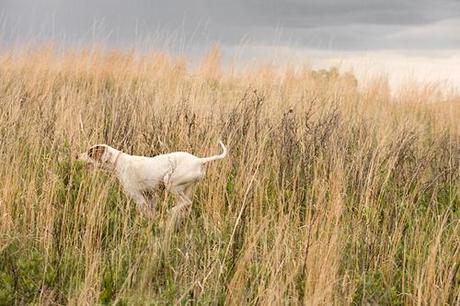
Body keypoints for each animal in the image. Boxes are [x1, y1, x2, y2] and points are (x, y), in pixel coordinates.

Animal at [78, 142, 227, 218]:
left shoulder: (138, 197)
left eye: (90, 153)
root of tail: (199, 160)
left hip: (170, 182)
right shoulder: (150, 196)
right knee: (186, 204)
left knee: (186, 202)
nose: (76, 156)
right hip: (187, 188)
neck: (119, 162)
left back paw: (171, 211)